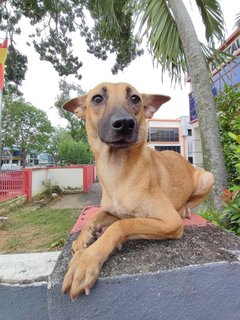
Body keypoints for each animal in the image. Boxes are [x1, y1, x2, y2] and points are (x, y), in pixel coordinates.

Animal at [61, 81, 214, 298]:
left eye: (135, 98)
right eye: (97, 98)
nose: (124, 123)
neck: (117, 170)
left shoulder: (169, 221)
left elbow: (121, 225)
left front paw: (87, 258)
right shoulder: (113, 211)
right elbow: (96, 216)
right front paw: (84, 238)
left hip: (208, 177)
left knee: (190, 202)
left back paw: (183, 209)